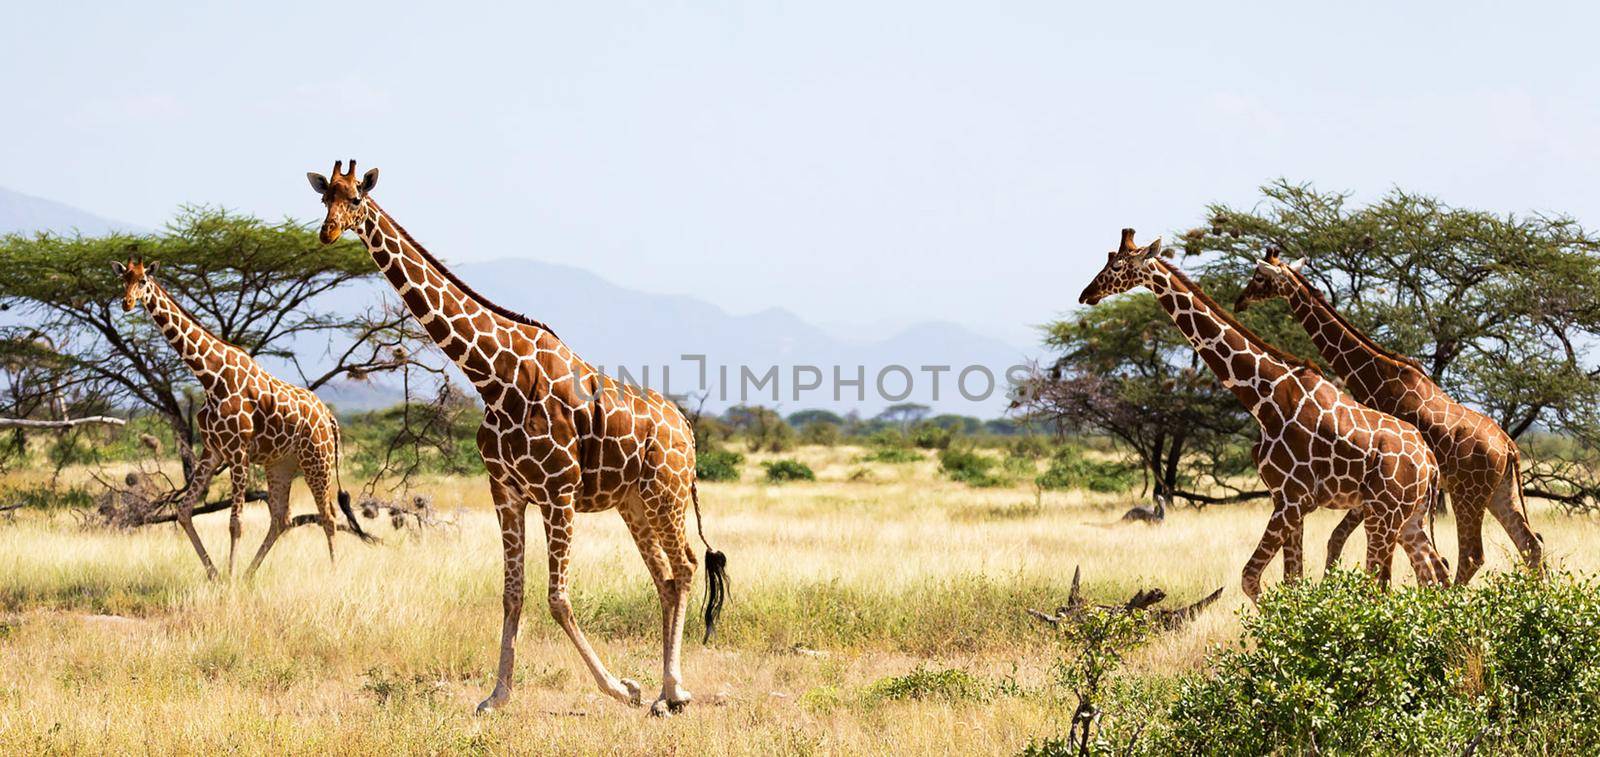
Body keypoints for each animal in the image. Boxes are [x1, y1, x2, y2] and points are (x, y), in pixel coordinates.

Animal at [114, 256, 366, 576]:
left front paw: (229, 577)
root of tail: (330, 418)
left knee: (329, 516)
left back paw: (332, 573)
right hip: (280, 465)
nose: (127, 303)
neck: (210, 377)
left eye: (144, 281)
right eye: (123, 279)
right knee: (281, 518)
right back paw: (250, 573)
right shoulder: (213, 451)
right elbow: (183, 511)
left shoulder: (238, 451)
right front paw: (215, 573)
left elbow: (235, 523)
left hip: (317, 461)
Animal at [302, 157, 729, 713]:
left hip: (666, 493)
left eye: (355, 198)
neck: (492, 377)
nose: (328, 232)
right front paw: (497, 696)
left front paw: (620, 688)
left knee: (686, 566)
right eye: (323, 197)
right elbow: (512, 593)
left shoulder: (558, 492)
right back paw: (665, 689)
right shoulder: (506, 491)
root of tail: (688, 430)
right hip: (633, 502)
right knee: (666, 577)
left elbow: (558, 599)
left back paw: (673, 691)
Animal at [1075, 227, 1452, 598]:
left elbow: (1252, 578)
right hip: (1410, 519)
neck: (1263, 397)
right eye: (1108, 260)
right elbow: (1290, 581)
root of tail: (1430, 464)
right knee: (1434, 575)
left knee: (1384, 585)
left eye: (1118, 266)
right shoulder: (1289, 501)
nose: (1086, 294)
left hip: (1383, 515)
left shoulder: (1291, 499)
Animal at [1228, 251, 1542, 582]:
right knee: (1530, 544)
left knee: (1471, 555)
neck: (1373, 372)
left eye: (1259, 277)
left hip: (1466, 492)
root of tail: (1509, 447)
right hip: (1499, 491)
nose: (1240, 301)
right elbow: (1339, 539)